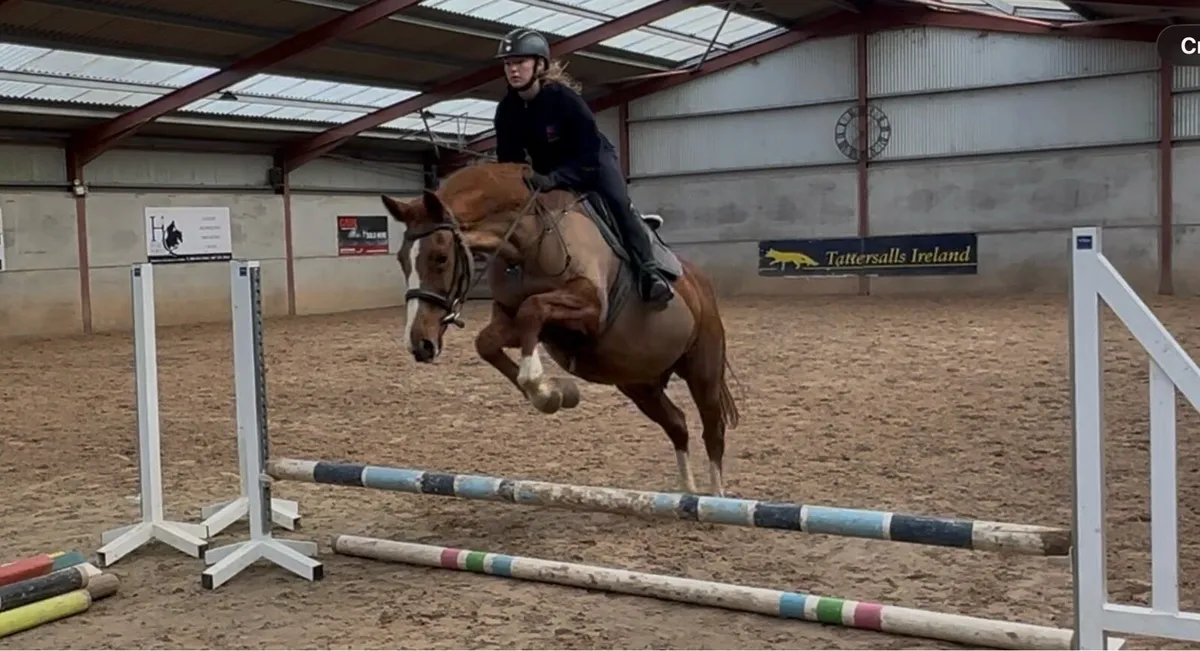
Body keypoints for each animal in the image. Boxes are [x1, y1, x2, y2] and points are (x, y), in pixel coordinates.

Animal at [380, 161, 739, 496]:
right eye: (401, 260)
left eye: (440, 257)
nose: (419, 343)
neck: (528, 242)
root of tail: (700, 282)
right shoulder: (517, 323)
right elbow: (488, 341)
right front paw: (554, 393)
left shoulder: (589, 312)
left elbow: (533, 309)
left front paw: (545, 389)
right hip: (639, 383)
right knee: (677, 424)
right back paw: (688, 494)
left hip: (702, 369)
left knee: (712, 428)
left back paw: (716, 497)